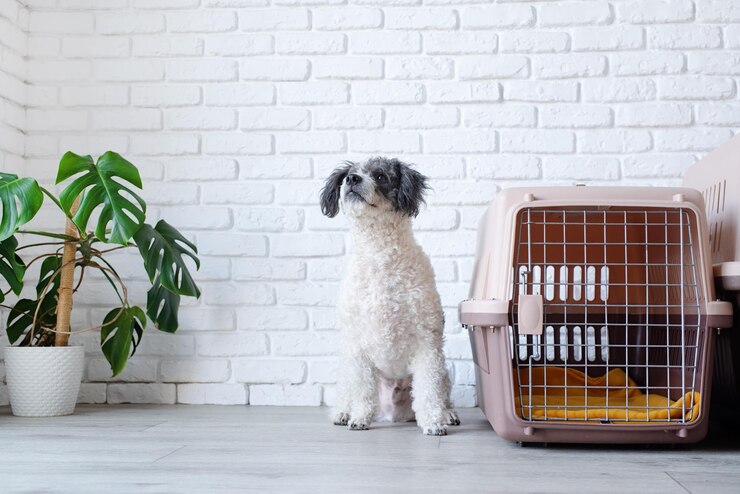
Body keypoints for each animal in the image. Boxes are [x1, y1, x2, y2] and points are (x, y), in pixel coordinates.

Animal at [320, 156, 460, 434]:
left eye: (381, 176)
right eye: (349, 174)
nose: (352, 179)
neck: (379, 255)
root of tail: (392, 414)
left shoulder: (427, 342)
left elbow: (428, 390)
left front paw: (433, 422)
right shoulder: (356, 346)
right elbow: (362, 390)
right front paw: (359, 418)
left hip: (444, 371)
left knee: (442, 394)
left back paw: (448, 413)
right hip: (347, 368)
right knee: (347, 392)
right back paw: (343, 412)